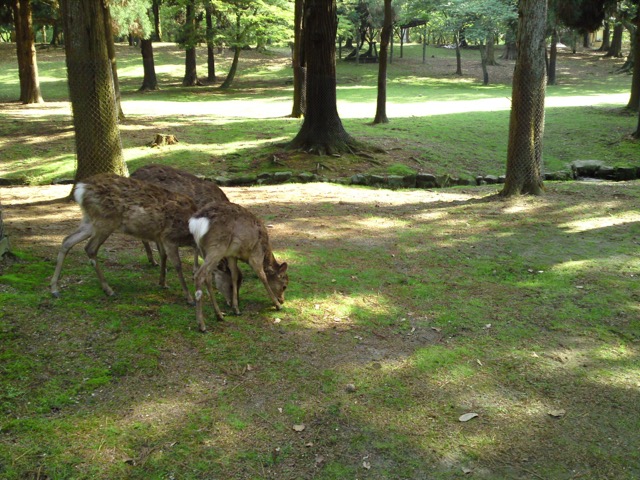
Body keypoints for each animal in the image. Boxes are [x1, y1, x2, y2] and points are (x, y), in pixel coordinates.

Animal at [50, 173, 196, 304]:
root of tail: (80, 188)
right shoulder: (169, 237)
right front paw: (189, 298)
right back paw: (108, 289)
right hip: (105, 220)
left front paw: (162, 283)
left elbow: (163, 256)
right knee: (90, 248)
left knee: (67, 240)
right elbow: (178, 265)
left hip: (89, 221)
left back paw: (54, 289)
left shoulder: (159, 236)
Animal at [189, 201, 288, 332]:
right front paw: (277, 305)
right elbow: (263, 277)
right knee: (199, 275)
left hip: (203, 249)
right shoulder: (255, 254)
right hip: (217, 247)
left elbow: (234, 276)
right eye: (284, 286)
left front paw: (236, 309)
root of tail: (196, 223)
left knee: (208, 277)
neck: (265, 249)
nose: (282, 300)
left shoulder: (232, 255)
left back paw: (219, 315)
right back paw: (202, 325)